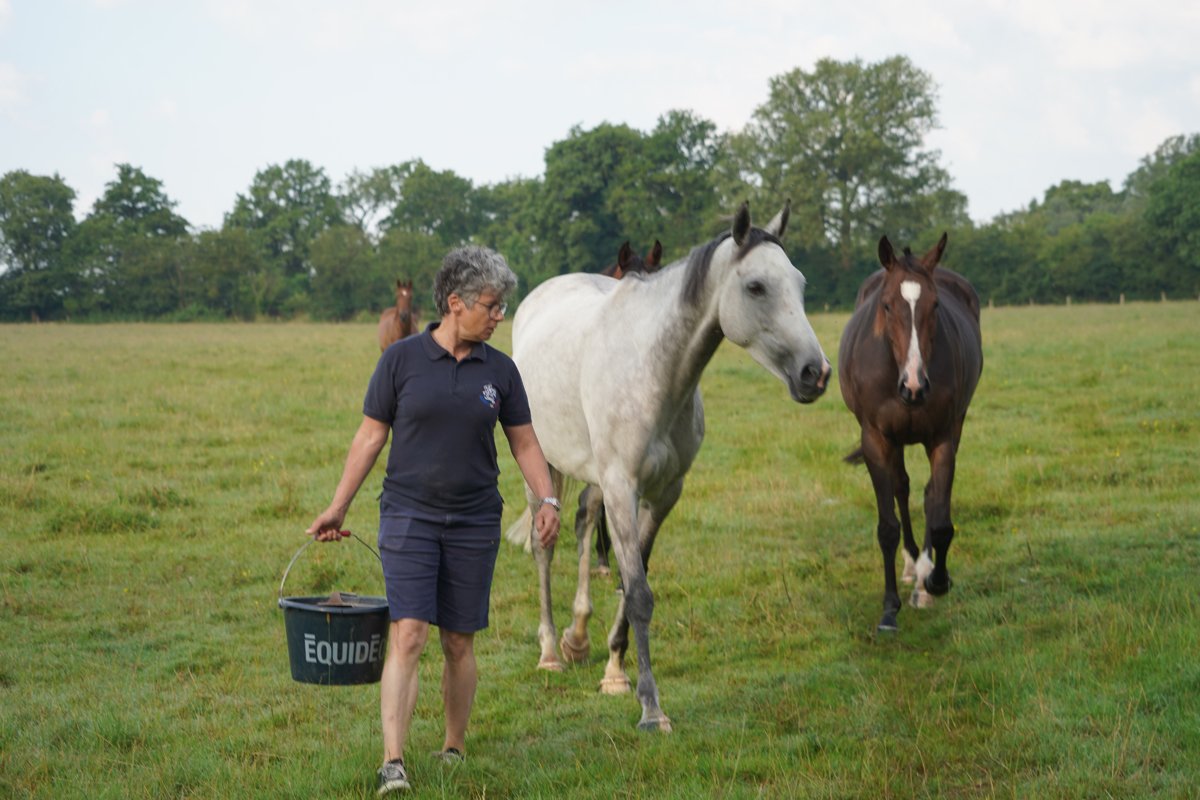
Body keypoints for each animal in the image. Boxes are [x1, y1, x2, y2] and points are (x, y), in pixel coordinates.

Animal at [837, 233, 983, 632]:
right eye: (887, 305)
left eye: (935, 305)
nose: (914, 386)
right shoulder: (876, 439)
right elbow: (887, 525)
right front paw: (889, 609)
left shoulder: (944, 436)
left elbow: (941, 516)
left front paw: (934, 581)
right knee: (900, 488)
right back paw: (909, 564)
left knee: (928, 494)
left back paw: (923, 575)